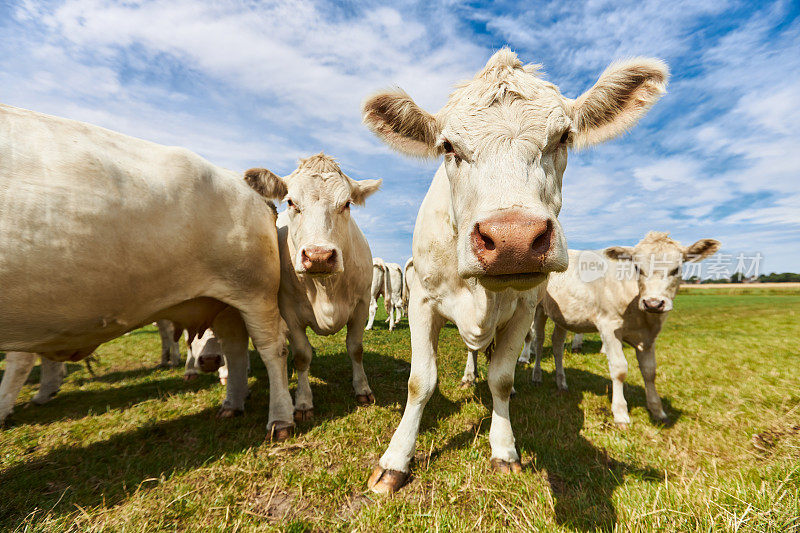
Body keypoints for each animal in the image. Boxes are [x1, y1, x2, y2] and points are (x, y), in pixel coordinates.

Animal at [0, 102, 290, 434]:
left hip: (255, 292)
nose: (207, 362)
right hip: (223, 301)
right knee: (236, 349)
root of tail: (242, 181)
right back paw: (231, 404)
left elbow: (19, 362)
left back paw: (281, 418)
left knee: (273, 348)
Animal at [244, 154, 382, 420]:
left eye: (347, 204)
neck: (325, 289)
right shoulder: (289, 311)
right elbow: (302, 355)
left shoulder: (361, 304)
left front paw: (362, 389)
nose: (319, 256)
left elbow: (356, 348)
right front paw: (303, 402)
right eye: (291, 202)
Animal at [362, 47, 668, 492]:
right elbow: (420, 381)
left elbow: (502, 379)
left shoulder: (525, 308)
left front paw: (504, 448)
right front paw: (396, 460)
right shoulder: (421, 298)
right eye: (448, 146)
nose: (513, 240)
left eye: (563, 137)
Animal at [524, 233, 720, 428]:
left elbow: (650, 372)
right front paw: (620, 413)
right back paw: (536, 375)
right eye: (637, 267)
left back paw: (561, 383)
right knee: (539, 341)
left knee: (557, 345)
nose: (653, 303)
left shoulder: (649, 337)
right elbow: (619, 369)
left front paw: (657, 410)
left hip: (563, 317)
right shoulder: (608, 327)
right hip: (538, 309)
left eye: (677, 268)